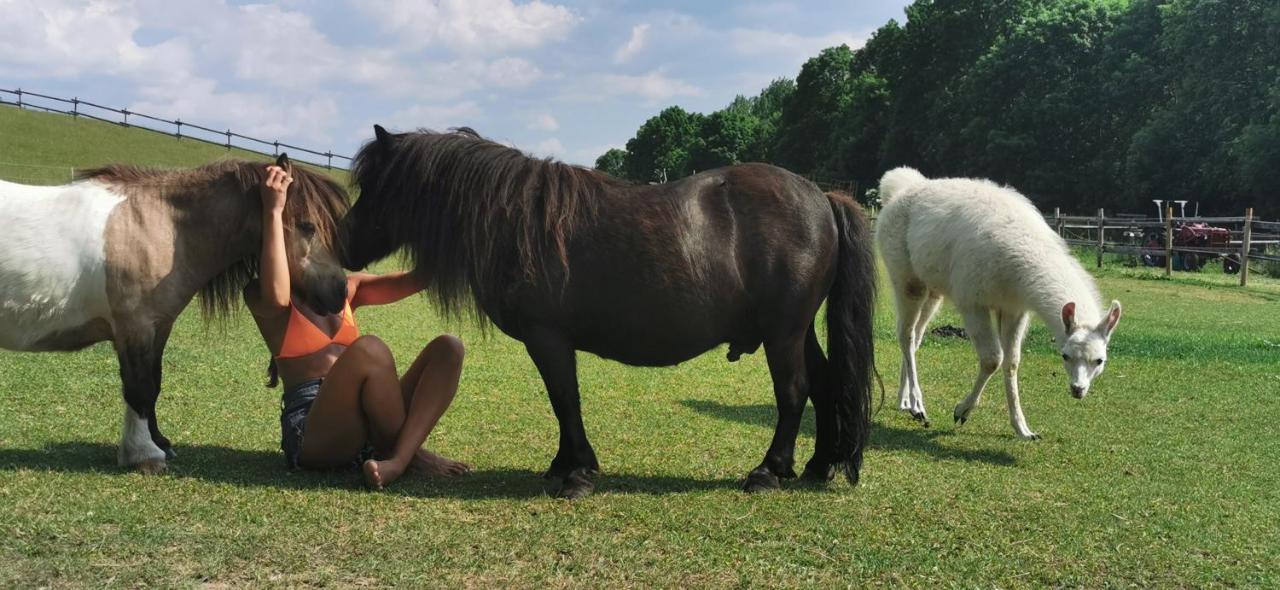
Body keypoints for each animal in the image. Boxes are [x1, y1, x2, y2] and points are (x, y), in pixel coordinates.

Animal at [0, 154, 350, 470]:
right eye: (307, 225)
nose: (340, 291)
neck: (159, 226)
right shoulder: (136, 328)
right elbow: (139, 388)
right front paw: (144, 454)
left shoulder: (159, 328)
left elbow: (153, 385)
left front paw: (160, 443)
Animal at [343, 127, 880, 496]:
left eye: (375, 187)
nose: (344, 245)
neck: (519, 222)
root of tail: (820, 195)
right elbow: (564, 401)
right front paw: (564, 465)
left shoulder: (548, 338)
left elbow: (565, 398)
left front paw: (577, 471)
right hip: (795, 331)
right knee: (826, 385)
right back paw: (816, 467)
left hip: (782, 332)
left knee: (794, 392)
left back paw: (769, 471)